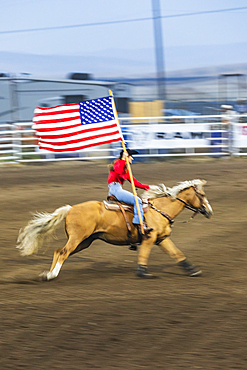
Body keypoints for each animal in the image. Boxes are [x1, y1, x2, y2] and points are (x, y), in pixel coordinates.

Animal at [16, 180, 212, 280]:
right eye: (202, 195)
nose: (209, 211)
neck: (159, 209)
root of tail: (70, 208)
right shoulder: (149, 239)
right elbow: (144, 255)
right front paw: (143, 272)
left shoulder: (162, 238)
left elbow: (177, 254)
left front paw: (193, 270)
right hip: (77, 238)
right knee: (63, 252)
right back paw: (52, 274)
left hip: (84, 241)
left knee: (59, 251)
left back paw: (49, 274)